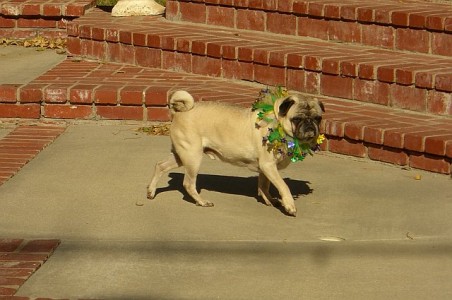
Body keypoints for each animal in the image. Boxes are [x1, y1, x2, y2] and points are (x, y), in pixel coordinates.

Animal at [148, 89, 324, 216]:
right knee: (188, 183)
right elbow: (283, 185)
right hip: (193, 156)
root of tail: (180, 112)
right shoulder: (268, 165)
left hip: (182, 155)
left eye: (318, 118)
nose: (310, 125)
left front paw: (269, 199)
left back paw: (151, 191)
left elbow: (264, 185)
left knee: (160, 165)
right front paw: (289, 205)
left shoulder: (265, 168)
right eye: (297, 119)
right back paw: (202, 201)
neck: (276, 122)